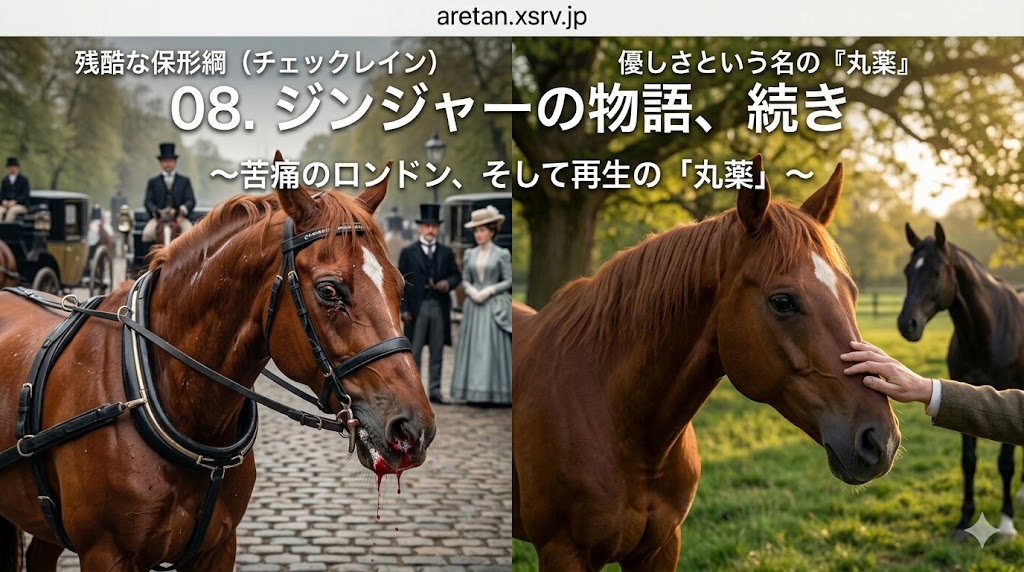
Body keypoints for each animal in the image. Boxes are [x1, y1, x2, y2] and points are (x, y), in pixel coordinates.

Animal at [899, 222, 1024, 540]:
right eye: (907, 271)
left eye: (937, 272)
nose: (907, 324)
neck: (986, 332)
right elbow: (969, 461)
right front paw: (964, 520)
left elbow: (1006, 464)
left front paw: (1007, 523)